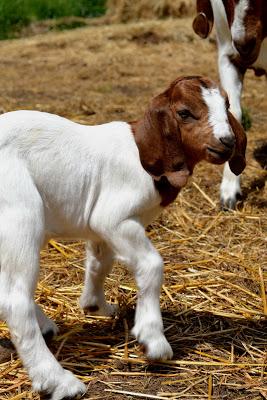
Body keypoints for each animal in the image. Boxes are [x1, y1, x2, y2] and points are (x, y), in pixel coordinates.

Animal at [0, 76, 247, 400]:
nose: (227, 142)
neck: (141, 153)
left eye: (227, 104)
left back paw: (46, 329)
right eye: (184, 112)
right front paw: (152, 339)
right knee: (14, 300)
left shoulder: (102, 229)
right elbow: (151, 265)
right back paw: (60, 381)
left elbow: (100, 263)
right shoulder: (113, 218)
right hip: (20, 216)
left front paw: (95, 305)